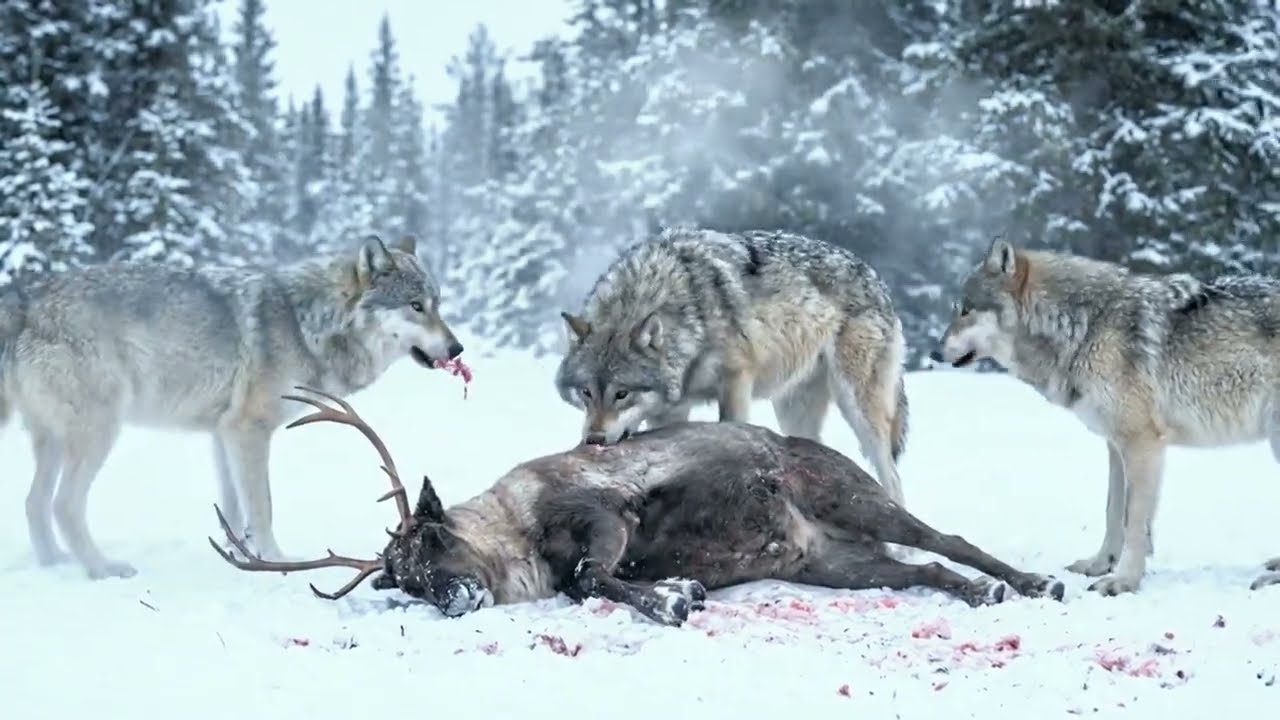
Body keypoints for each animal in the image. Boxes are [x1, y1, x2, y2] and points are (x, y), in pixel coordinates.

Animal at [0, 234, 464, 580]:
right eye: (416, 306)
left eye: (438, 304)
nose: (458, 348)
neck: (305, 323)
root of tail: (25, 298)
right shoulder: (249, 431)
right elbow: (262, 507)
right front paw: (279, 562)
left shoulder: (222, 435)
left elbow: (234, 508)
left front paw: (239, 557)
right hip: (99, 434)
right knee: (63, 506)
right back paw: (101, 569)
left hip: (55, 442)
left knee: (33, 503)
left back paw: (54, 564)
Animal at [212, 388, 1065, 626]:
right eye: (406, 581)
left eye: (428, 541)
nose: (453, 599)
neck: (518, 538)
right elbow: (595, 581)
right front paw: (677, 590)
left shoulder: (605, 512)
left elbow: (590, 576)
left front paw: (672, 599)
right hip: (828, 561)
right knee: (921, 570)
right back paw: (984, 594)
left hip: (847, 494)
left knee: (948, 538)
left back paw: (1033, 582)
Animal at [554, 227, 911, 507]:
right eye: (585, 392)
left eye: (622, 394)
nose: (593, 440)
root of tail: (877, 279)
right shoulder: (669, 412)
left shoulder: (736, 382)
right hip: (793, 413)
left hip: (860, 410)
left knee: (892, 477)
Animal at [931, 238, 1280, 595]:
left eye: (966, 311)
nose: (934, 352)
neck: (1086, 327)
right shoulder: (1116, 445)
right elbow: (1113, 512)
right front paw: (1100, 565)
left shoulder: (1142, 444)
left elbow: (1133, 519)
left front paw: (1123, 581)